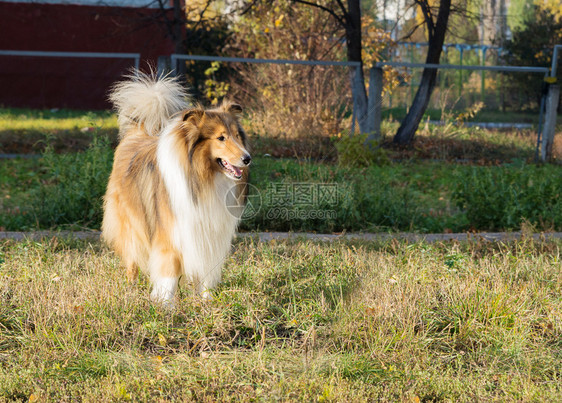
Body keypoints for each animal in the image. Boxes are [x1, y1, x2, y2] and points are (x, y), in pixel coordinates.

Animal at [101, 72, 250, 308]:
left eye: (237, 135)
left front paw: (207, 302)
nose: (247, 158)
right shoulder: (170, 233)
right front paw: (166, 306)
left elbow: (205, 272)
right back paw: (130, 288)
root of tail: (138, 132)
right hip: (130, 222)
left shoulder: (207, 234)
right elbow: (168, 272)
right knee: (132, 258)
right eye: (221, 137)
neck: (203, 179)